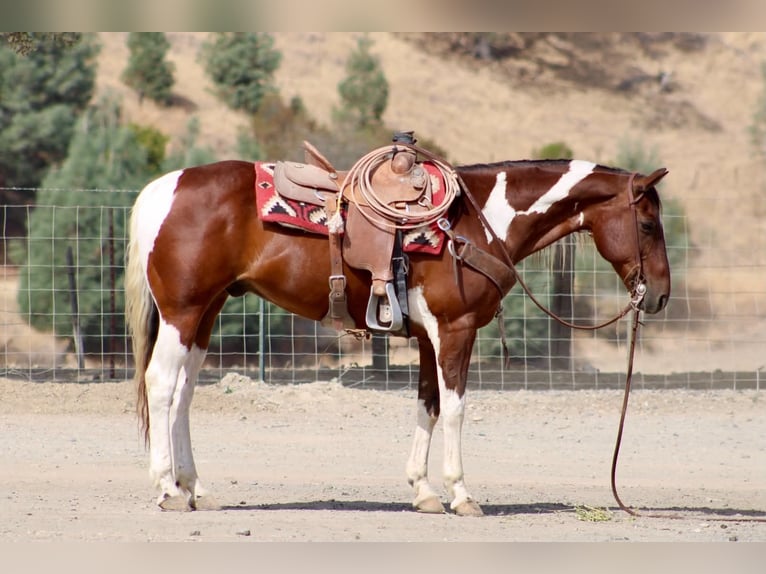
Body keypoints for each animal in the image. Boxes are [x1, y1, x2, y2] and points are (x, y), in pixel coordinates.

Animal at [125, 153, 670, 515]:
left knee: (184, 393)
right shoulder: (455, 331)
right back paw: (168, 489)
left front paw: (424, 492)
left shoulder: (430, 337)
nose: (661, 296)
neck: (477, 223)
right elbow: (455, 408)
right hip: (182, 311)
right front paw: (461, 495)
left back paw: (195, 487)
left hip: (205, 313)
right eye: (647, 224)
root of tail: (163, 189)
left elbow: (427, 404)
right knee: (162, 385)